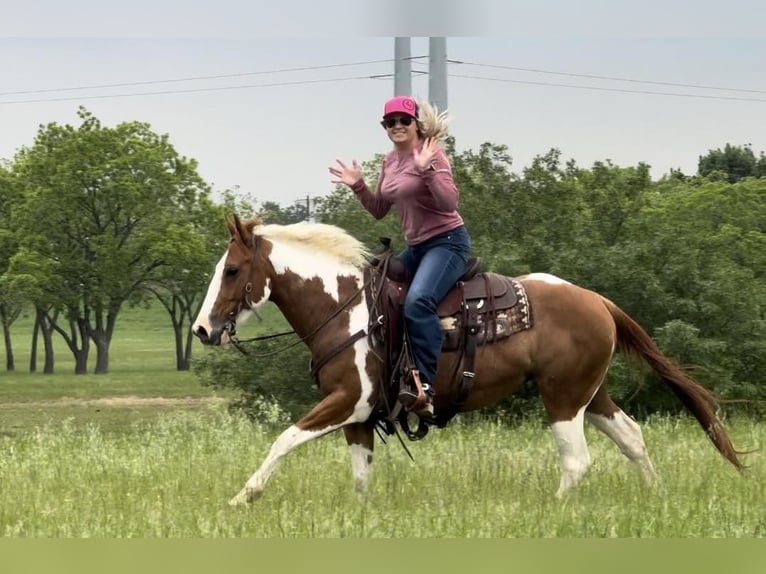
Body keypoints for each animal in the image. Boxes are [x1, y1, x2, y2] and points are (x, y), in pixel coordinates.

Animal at [194, 216, 752, 508]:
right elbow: (360, 475)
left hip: (563, 397)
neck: (347, 307)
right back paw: (657, 496)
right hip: (591, 394)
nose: (201, 329)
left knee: (577, 460)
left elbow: (284, 439)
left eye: (233, 269)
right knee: (632, 437)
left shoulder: (347, 400)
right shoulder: (360, 416)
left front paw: (243, 497)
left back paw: (553, 511)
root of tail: (597, 299)